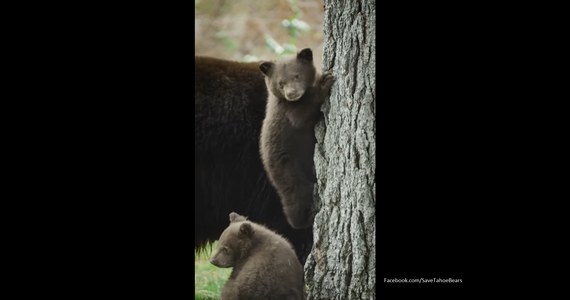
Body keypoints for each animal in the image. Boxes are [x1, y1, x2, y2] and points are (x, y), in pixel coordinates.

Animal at [258, 48, 332, 229]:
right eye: (281, 83)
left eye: (297, 76)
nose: (292, 93)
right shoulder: (287, 111)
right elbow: (301, 117)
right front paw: (324, 83)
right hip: (288, 171)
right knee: (296, 198)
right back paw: (308, 217)